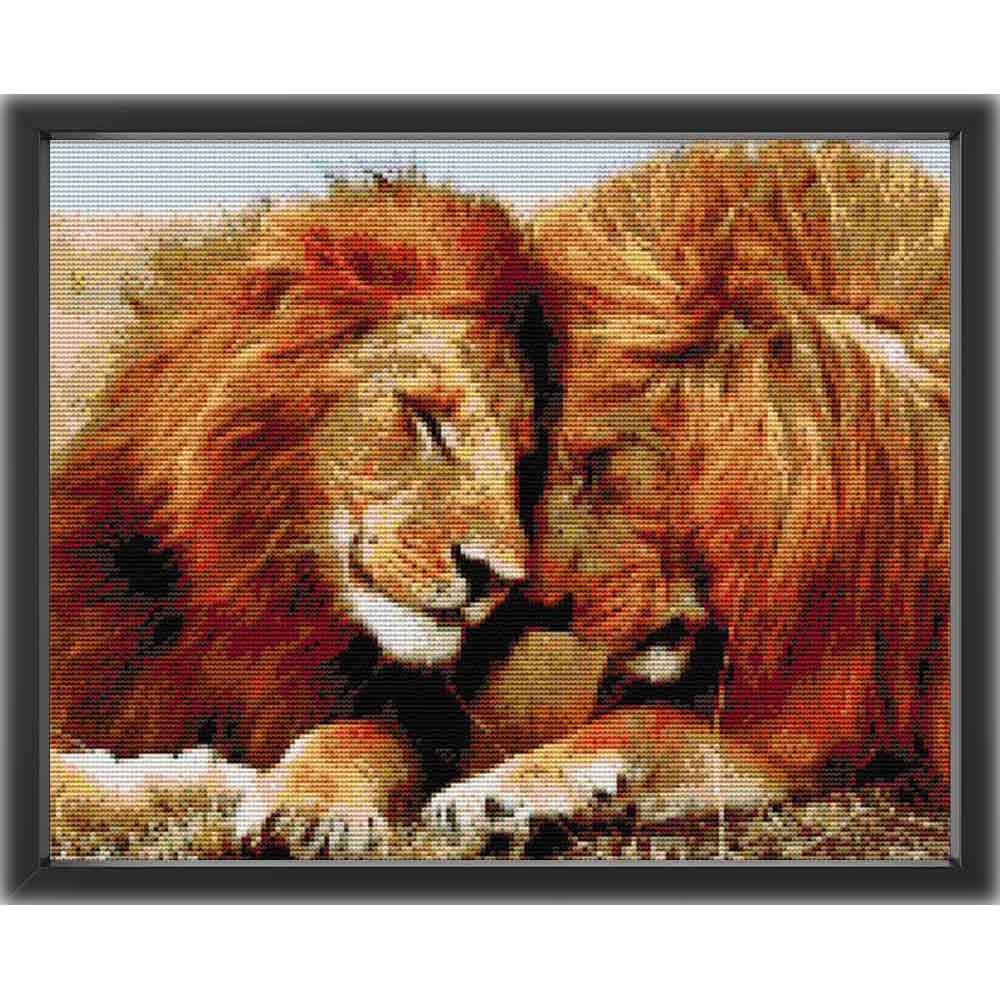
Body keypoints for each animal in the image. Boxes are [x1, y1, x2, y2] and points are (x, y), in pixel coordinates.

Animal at [50, 181, 539, 848]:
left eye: (524, 459)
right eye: (424, 417)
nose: (500, 580)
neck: (256, 611)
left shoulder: (417, 718)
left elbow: (358, 736)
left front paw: (307, 804)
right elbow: (66, 779)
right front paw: (204, 779)